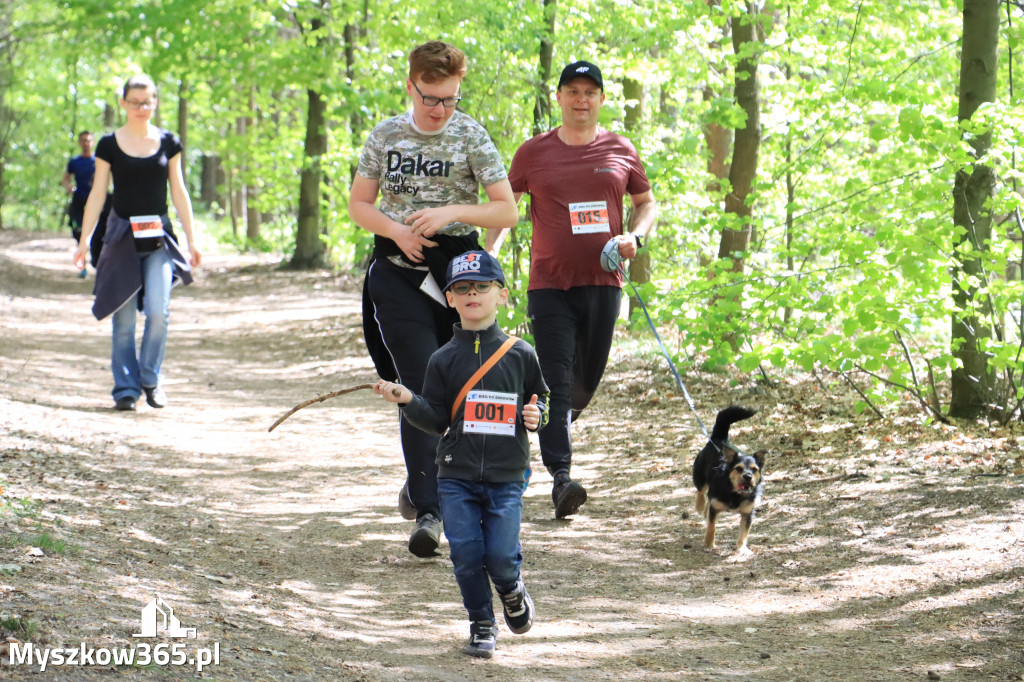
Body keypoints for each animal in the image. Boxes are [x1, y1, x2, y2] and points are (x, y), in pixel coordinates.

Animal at [692, 403, 765, 552]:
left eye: (754, 469)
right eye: (739, 468)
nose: (748, 476)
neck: (735, 493)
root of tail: (718, 439)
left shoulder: (747, 514)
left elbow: (744, 532)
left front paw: (742, 548)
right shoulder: (715, 509)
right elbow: (712, 526)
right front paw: (709, 543)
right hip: (700, 477)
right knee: (701, 491)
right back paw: (700, 505)